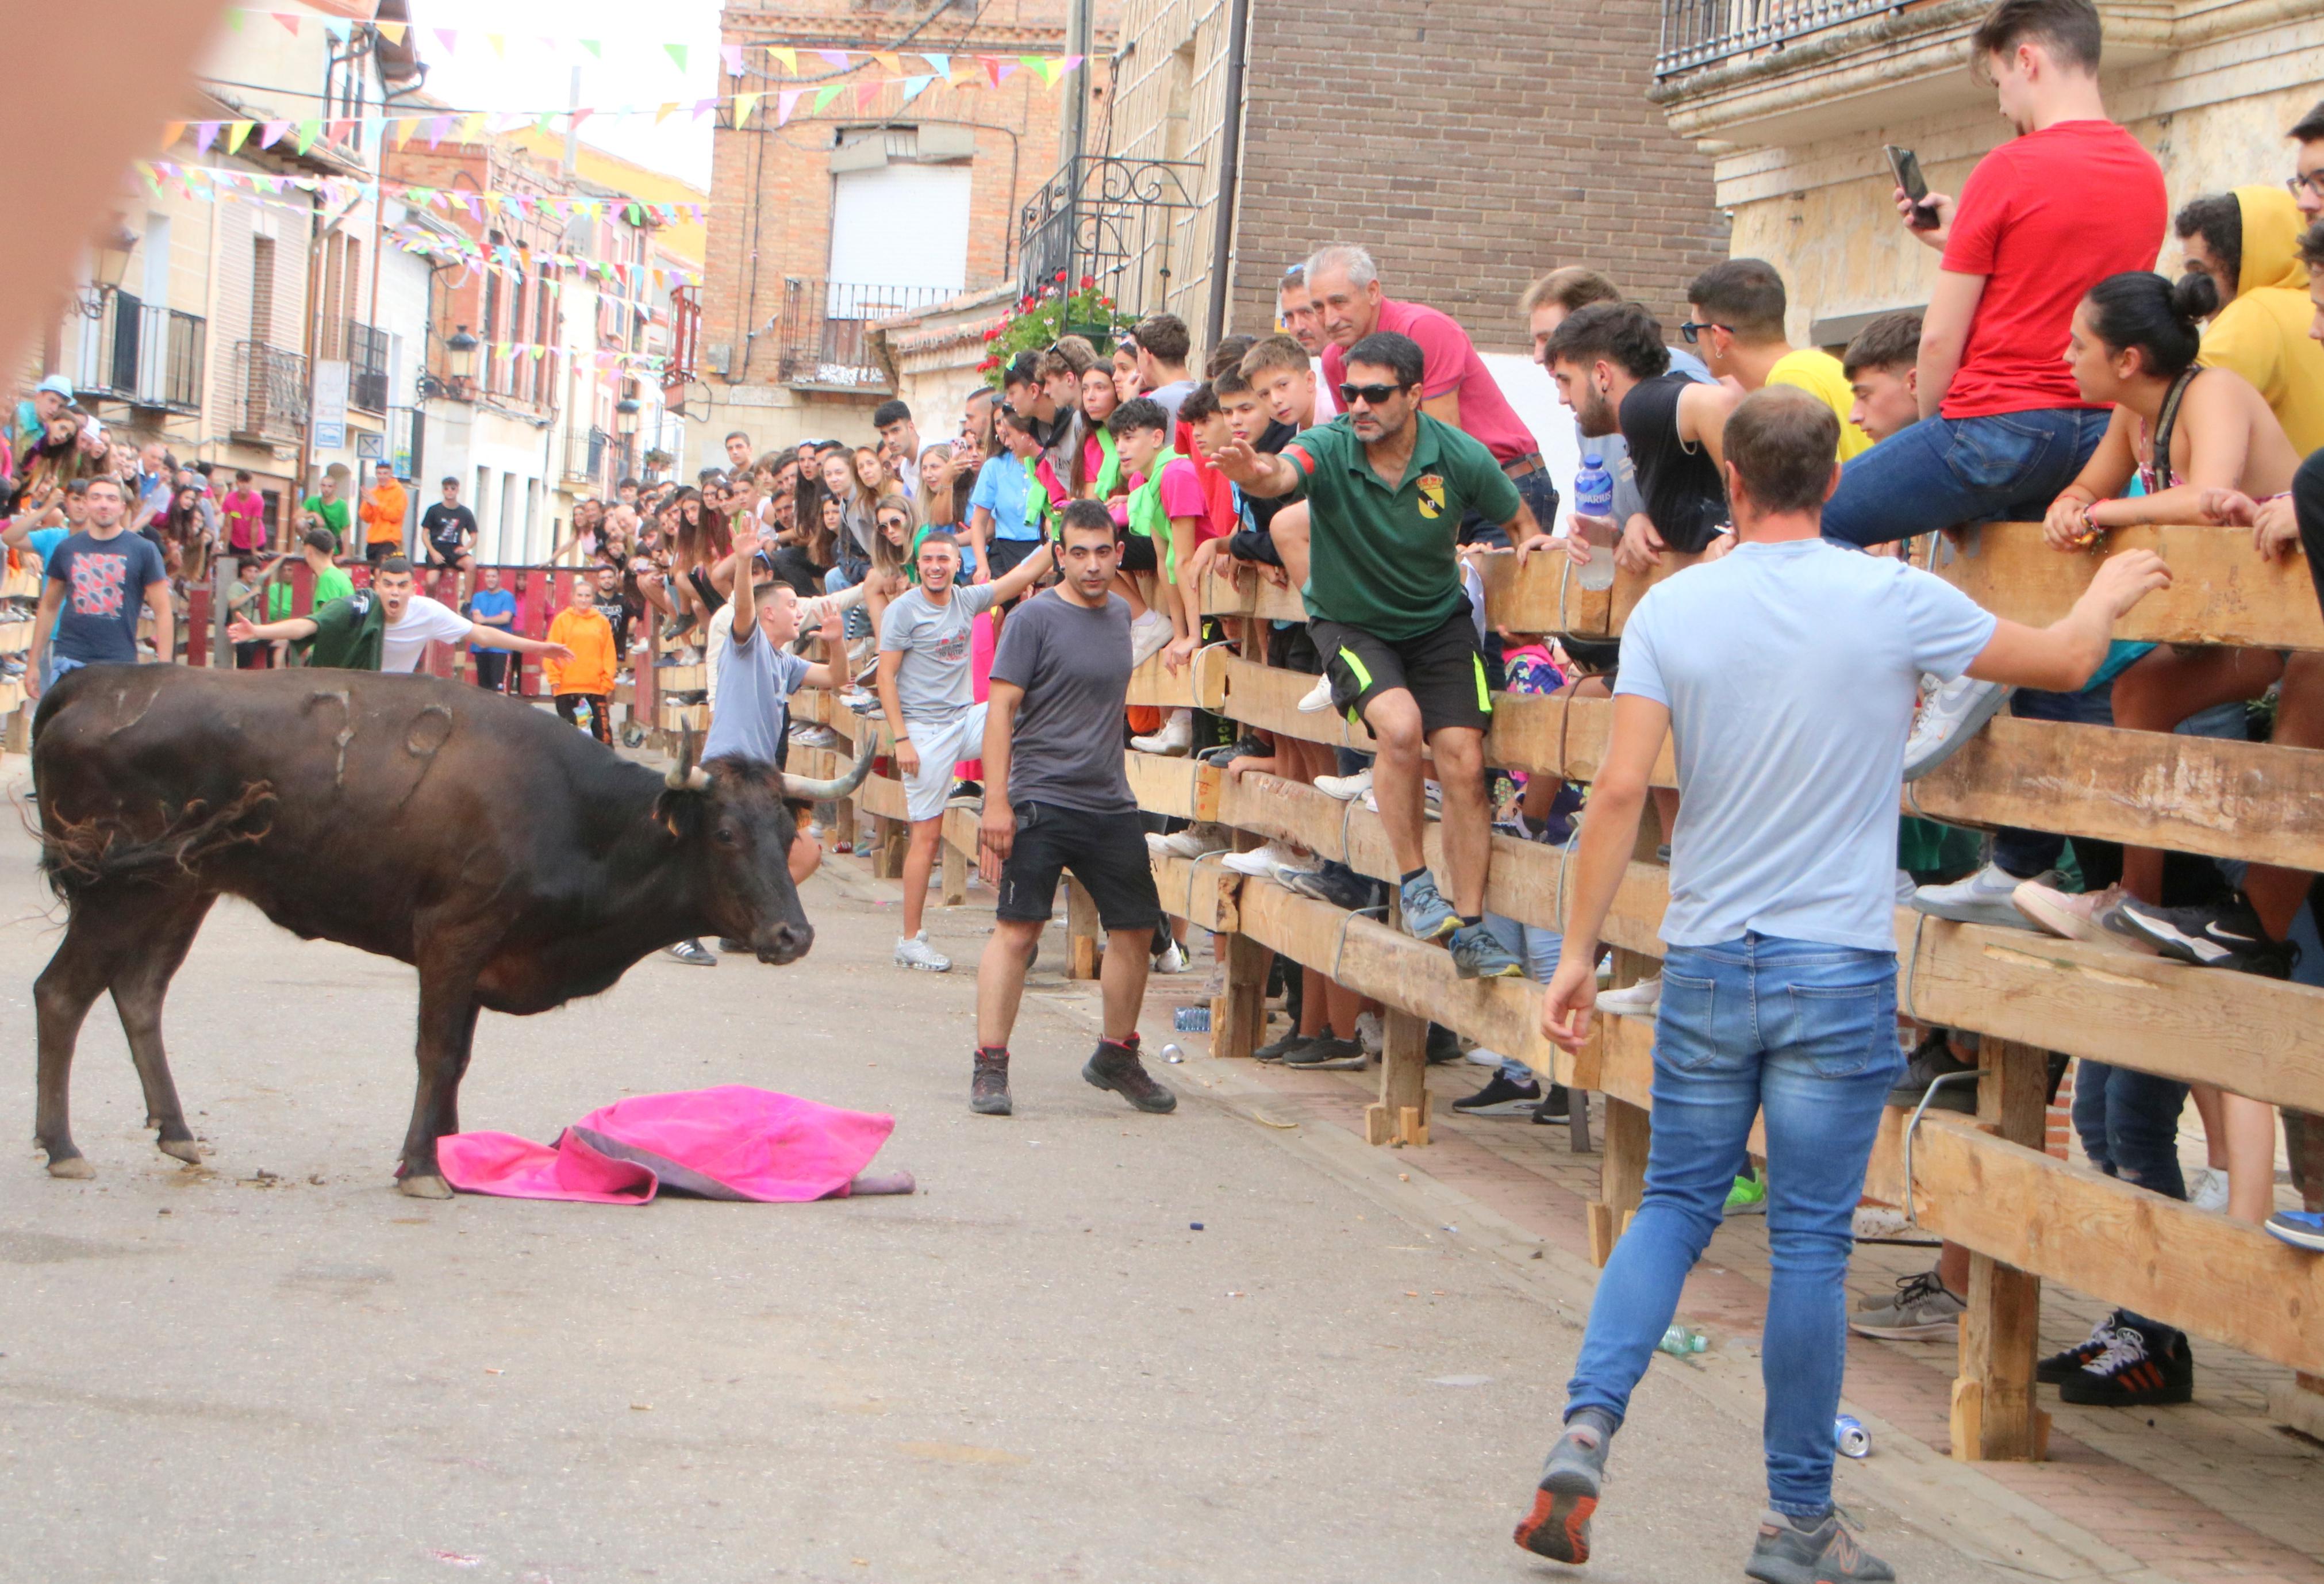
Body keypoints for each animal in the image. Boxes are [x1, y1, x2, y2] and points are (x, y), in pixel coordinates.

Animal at [22, 660, 874, 1191]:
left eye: (786, 831)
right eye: (725, 833)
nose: (792, 936)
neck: (575, 818)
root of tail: (100, 680)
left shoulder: (476, 957)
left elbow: (458, 1060)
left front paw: (451, 1152)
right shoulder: (453, 937)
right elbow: (437, 1053)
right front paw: (425, 1166)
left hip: (178, 888)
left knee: (138, 991)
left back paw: (174, 1129)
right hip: (119, 888)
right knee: (61, 993)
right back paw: (62, 1146)